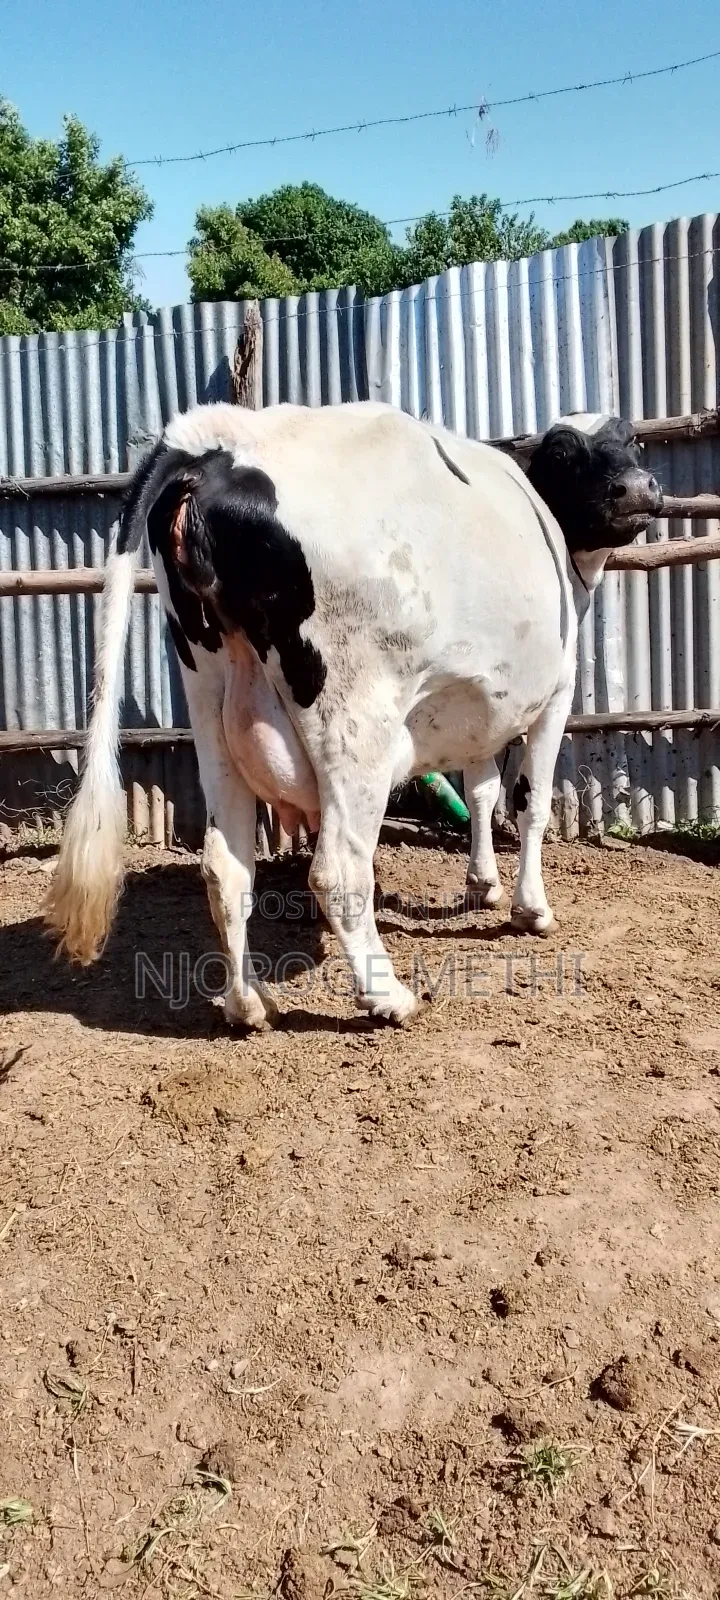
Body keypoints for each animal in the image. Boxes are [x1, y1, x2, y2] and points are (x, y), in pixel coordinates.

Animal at [44, 401, 661, 1029]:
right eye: (562, 453)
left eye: (631, 440)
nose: (638, 488)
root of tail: (227, 439)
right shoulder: (556, 693)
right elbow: (528, 803)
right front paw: (530, 909)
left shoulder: (480, 709)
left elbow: (482, 791)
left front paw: (481, 883)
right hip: (354, 718)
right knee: (338, 867)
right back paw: (387, 995)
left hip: (210, 698)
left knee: (226, 864)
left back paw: (248, 1002)